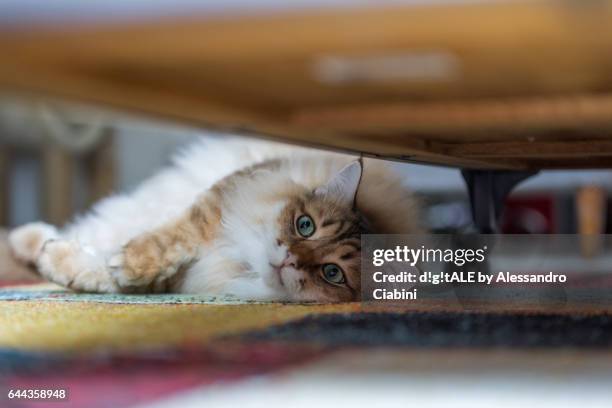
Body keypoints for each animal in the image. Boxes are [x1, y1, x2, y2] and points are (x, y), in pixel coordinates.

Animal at [8, 137, 420, 302]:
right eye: (305, 225)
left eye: (331, 273)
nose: (289, 258)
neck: (241, 260)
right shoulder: (216, 205)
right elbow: (165, 239)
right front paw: (127, 262)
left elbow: (112, 276)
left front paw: (69, 265)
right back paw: (28, 241)